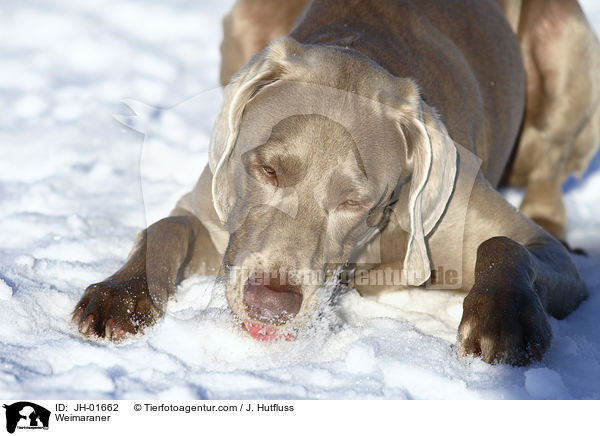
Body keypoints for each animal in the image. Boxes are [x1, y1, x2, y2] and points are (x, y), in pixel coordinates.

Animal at [72, 0, 596, 366]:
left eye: (353, 201)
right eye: (267, 170)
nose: (271, 303)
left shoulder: (529, 248)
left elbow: (507, 243)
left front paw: (503, 322)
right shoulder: (215, 217)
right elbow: (165, 227)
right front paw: (120, 297)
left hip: (561, 40)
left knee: (550, 169)